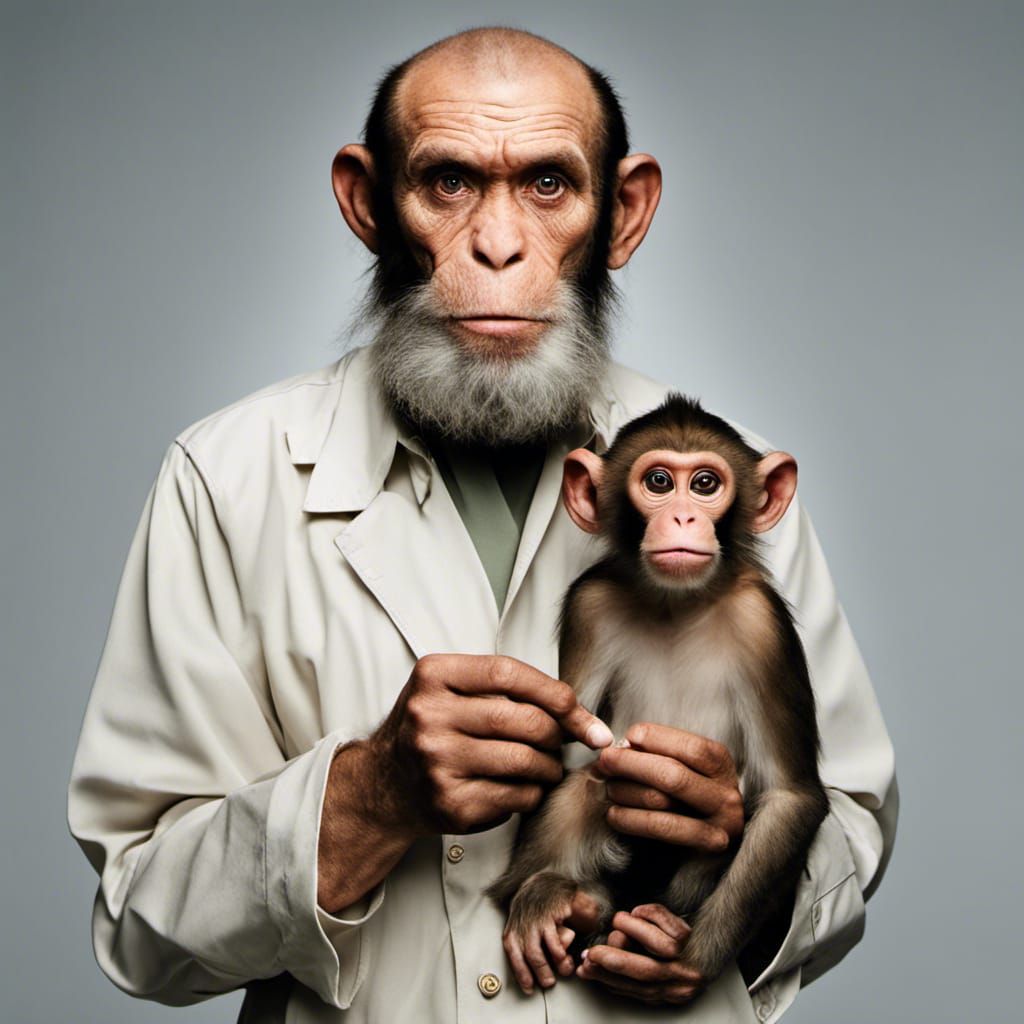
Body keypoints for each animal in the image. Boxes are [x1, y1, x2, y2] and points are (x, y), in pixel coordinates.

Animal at [487, 393, 830, 998]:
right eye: (660, 481)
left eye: (706, 484)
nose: (684, 517)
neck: (676, 602)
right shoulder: (592, 603)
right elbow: (561, 752)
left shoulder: (761, 621)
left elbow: (790, 796)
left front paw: (684, 962)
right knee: (586, 786)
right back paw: (555, 898)